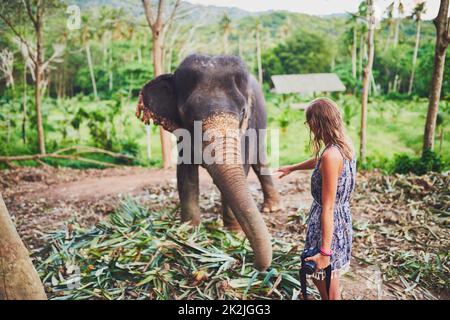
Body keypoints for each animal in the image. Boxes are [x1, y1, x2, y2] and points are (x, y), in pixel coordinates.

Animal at [135, 54, 280, 270]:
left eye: (243, 111)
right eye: (188, 114)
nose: (251, 263)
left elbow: (244, 165)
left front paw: (233, 234)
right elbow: (185, 174)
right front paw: (188, 234)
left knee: (259, 160)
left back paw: (272, 208)